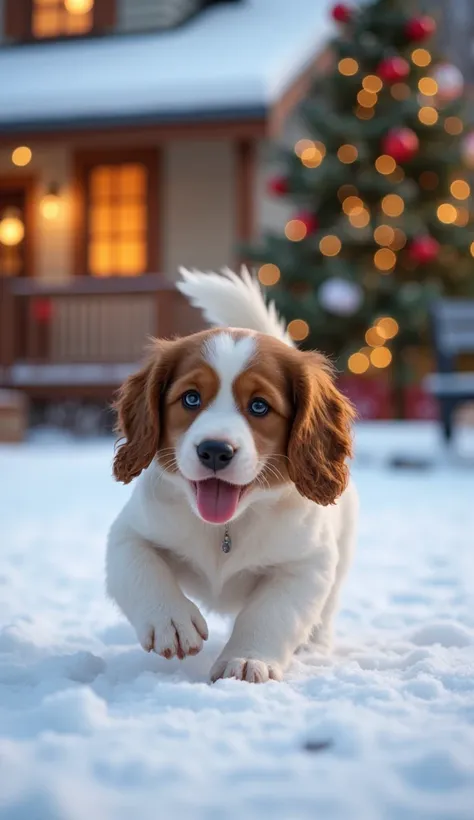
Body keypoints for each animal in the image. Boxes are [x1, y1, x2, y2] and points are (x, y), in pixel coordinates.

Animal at [106, 268, 356, 680]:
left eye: (259, 406)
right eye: (191, 398)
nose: (214, 450)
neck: (227, 527)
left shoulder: (305, 564)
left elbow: (271, 613)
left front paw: (247, 660)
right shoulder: (129, 532)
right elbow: (142, 569)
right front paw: (171, 622)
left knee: (328, 608)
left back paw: (315, 645)